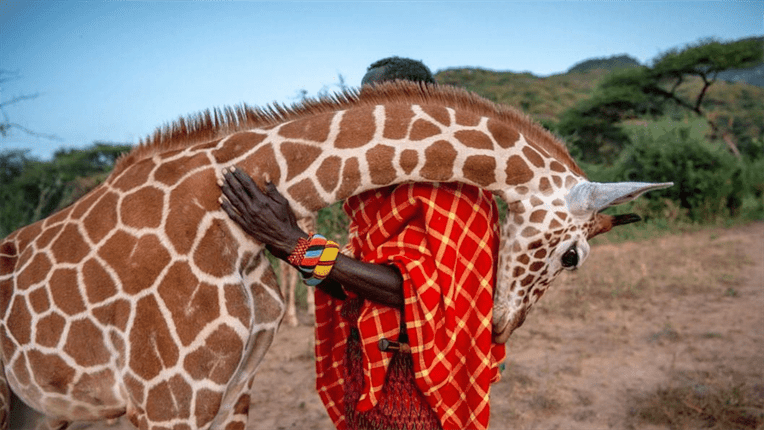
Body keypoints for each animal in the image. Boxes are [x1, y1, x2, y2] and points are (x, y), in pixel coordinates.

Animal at [0, 80, 668, 426]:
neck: (222, 222)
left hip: (41, 407)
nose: (502, 327)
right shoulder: (165, 399)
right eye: (573, 256)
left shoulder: (235, 389)